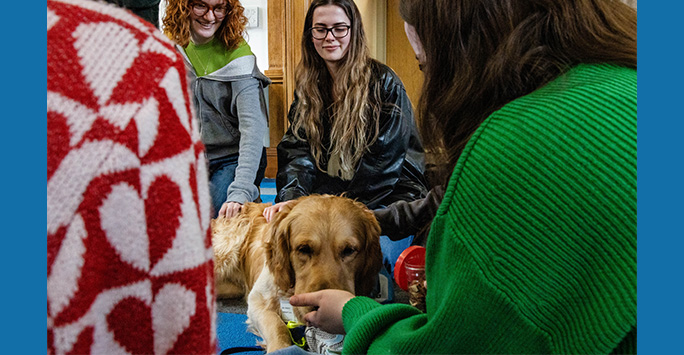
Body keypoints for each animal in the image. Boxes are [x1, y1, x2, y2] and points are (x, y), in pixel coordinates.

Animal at [211, 195, 382, 354]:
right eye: (303, 249)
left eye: (349, 250)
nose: (318, 307)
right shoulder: (258, 299)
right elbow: (277, 326)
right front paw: (279, 348)